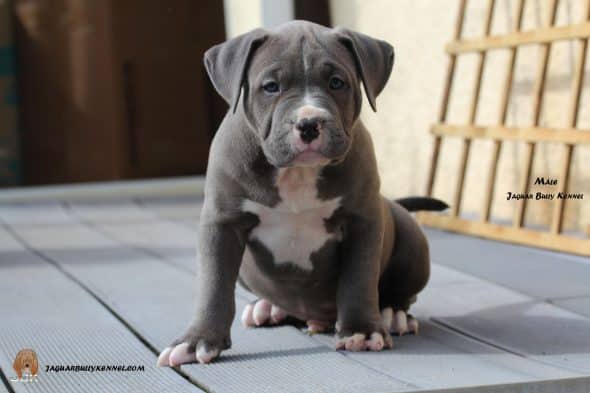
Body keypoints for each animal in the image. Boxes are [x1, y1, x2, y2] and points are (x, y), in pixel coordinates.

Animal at [157, 20, 448, 364]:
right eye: (271, 86)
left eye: (337, 82)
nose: (309, 123)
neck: (297, 174)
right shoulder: (222, 224)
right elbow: (214, 285)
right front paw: (196, 340)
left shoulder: (363, 221)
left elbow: (359, 278)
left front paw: (361, 331)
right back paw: (267, 308)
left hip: (411, 239)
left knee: (401, 293)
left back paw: (393, 314)